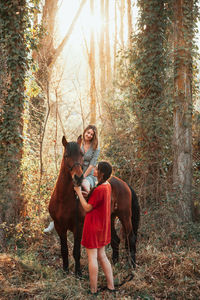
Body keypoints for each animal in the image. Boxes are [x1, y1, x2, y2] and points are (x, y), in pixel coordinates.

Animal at [48, 137, 139, 276]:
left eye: (81, 155)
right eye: (66, 155)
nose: (78, 178)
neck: (63, 199)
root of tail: (123, 184)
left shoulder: (78, 227)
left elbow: (76, 251)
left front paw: (78, 273)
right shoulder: (60, 227)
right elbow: (64, 250)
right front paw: (65, 271)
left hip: (125, 216)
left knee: (131, 238)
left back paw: (132, 265)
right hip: (110, 218)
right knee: (116, 240)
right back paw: (115, 263)